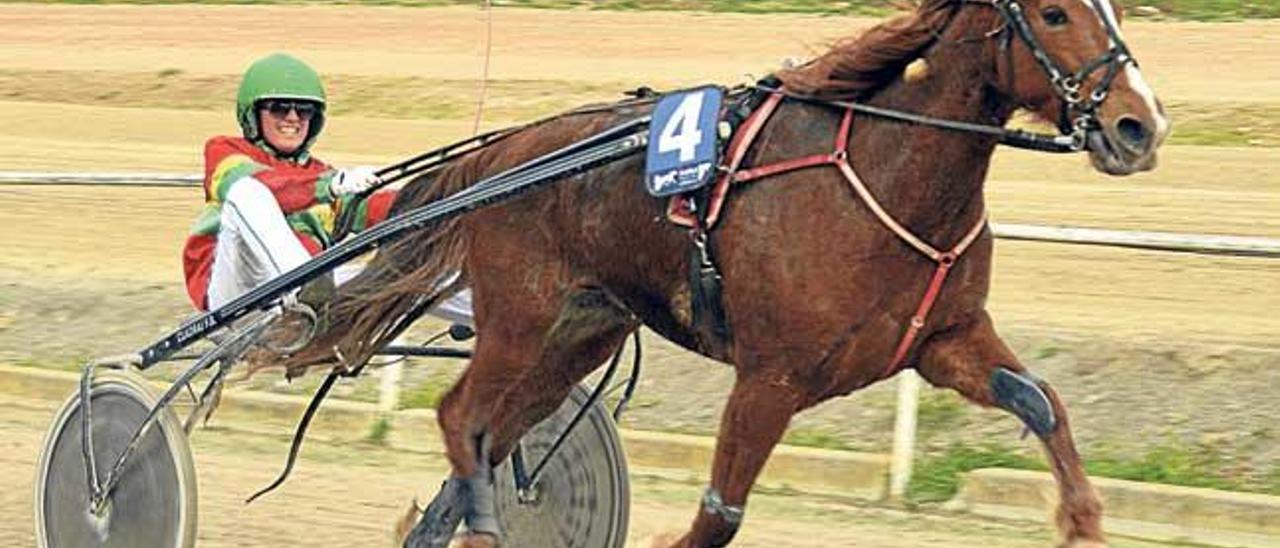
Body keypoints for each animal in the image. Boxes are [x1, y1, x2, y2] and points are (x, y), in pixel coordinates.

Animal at [285, 0, 1167, 545]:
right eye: (1054, 14)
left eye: (1118, 10)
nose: (1140, 125)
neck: (885, 173)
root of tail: (505, 151)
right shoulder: (770, 378)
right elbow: (719, 516)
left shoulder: (944, 340)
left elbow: (1043, 402)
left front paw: (1083, 521)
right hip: (520, 321)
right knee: (459, 416)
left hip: (579, 338)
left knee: (488, 437)